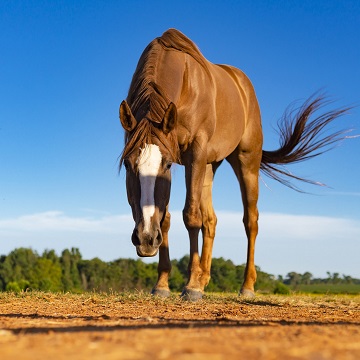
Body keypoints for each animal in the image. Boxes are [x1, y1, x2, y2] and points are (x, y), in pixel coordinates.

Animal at [119, 28, 348, 300]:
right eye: (128, 165)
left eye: (165, 165)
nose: (145, 239)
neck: (183, 83)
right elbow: (167, 218)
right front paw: (163, 284)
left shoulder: (194, 153)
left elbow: (191, 216)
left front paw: (191, 286)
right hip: (209, 166)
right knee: (211, 220)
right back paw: (203, 278)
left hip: (246, 161)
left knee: (250, 221)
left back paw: (245, 286)